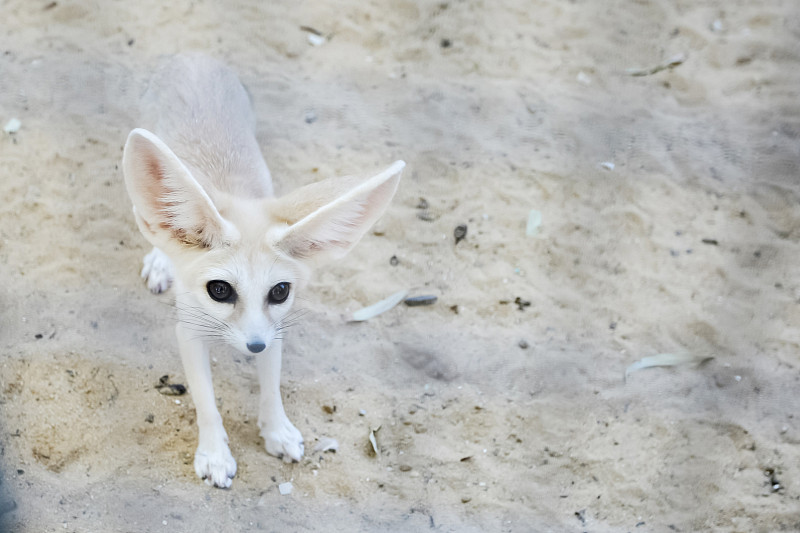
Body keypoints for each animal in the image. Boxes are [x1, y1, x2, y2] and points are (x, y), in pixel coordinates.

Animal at [122, 54, 404, 486]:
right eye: (219, 290)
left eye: (280, 291)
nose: (253, 346)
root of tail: (195, 56)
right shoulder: (189, 331)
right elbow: (206, 402)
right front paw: (215, 454)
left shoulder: (275, 329)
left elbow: (271, 387)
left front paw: (277, 431)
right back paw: (159, 259)